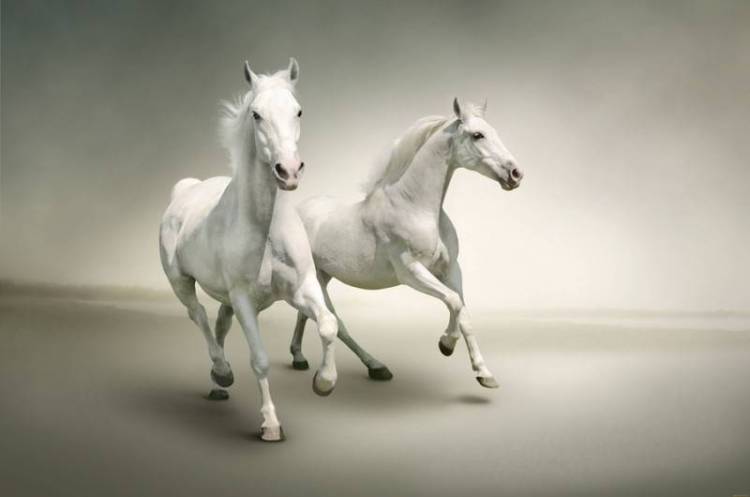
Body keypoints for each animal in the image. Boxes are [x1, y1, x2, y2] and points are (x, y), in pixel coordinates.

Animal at [159, 59, 337, 442]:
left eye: (298, 111)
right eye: (256, 114)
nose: (289, 171)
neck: (266, 229)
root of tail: (186, 190)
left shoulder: (301, 288)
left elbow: (329, 324)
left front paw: (324, 382)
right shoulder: (243, 299)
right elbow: (260, 360)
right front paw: (270, 424)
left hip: (225, 297)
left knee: (219, 324)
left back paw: (218, 382)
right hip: (181, 282)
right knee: (198, 316)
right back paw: (222, 371)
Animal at [289, 98, 523, 389]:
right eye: (477, 135)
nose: (516, 174)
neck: (415, 207)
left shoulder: (450, 269)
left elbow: (464, 313)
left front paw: (484, 374)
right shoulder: (411, 272)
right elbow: (454, 302)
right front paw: (446, 344)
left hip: (322, 275)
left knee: (306, 315)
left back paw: (300, 358)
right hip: (317, 279)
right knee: (335, 322)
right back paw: (373, 366)